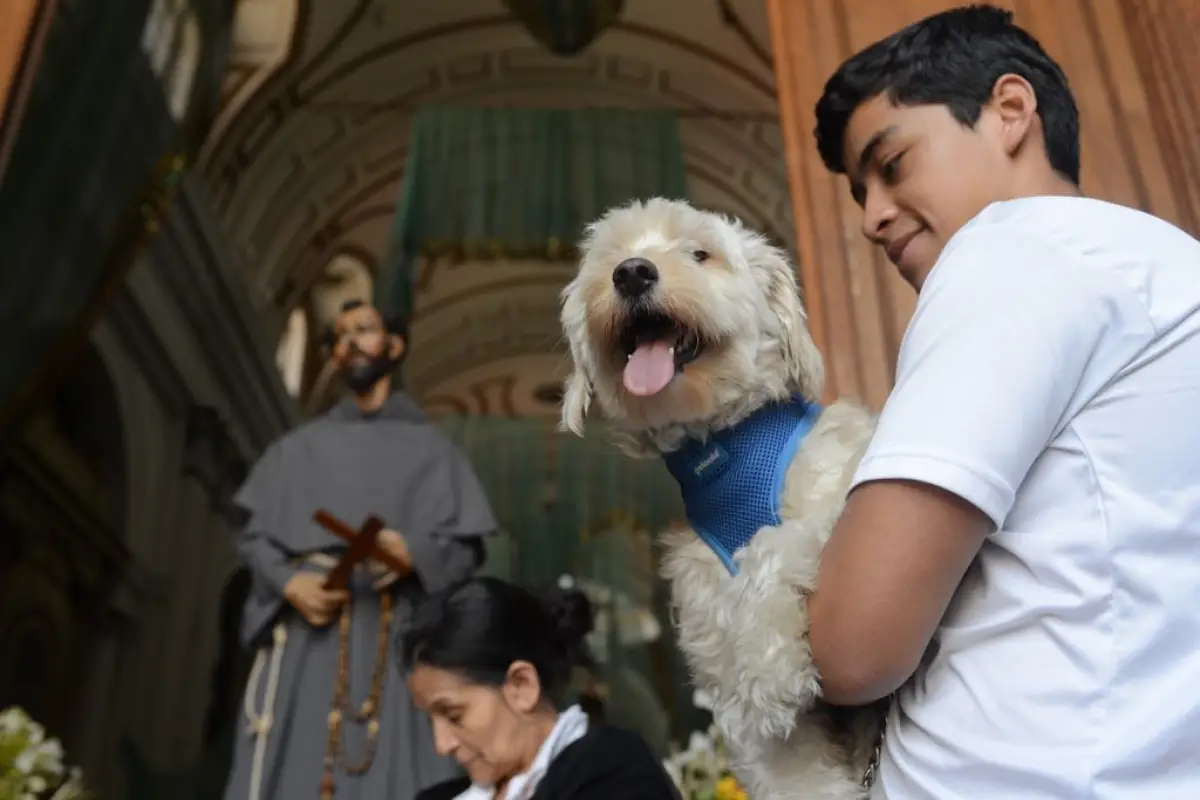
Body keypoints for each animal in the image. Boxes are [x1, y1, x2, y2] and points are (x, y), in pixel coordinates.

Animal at [556, 196, 888, 796]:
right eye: (611, 259)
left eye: (700, 253)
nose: (632, 272)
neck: (722, 451)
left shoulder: (846, 504)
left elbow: (770, 545)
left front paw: (770, 669)